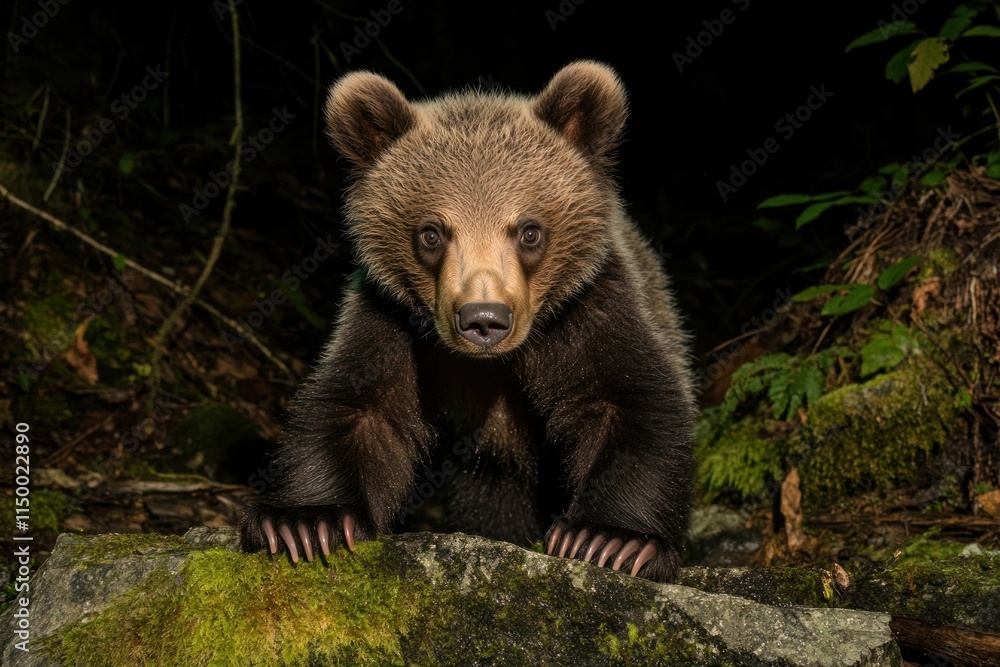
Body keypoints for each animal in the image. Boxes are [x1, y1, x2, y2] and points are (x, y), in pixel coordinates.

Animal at [239, 60, 696, 582]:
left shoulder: (589, 308)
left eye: (529, 230)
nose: (484, 319)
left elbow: (629, 401)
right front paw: (305, 522)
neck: (491, 363)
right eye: (431, 233)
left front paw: (611, 539)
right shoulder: (392, 321)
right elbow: (360, 407)